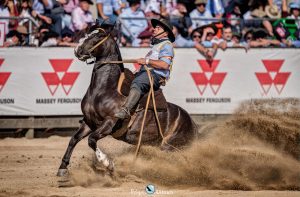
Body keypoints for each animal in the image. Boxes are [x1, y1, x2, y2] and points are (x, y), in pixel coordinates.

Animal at [56, 22, 198, 177]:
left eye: (98, 36)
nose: (77, 49)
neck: (104, 89)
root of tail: (192, 123)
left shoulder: (109, 122)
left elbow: (91, 140)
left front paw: (108, 163)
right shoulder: (89, 122)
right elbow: (73, 139)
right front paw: (63, 168)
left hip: (170, 146)